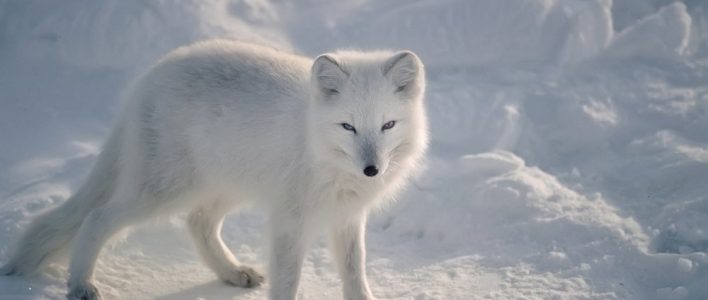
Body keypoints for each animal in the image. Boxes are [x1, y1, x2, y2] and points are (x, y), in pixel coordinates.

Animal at [1, 40, 426, 300]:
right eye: (348, 127)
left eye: (388, 125)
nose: (371, 170)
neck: (318, 147)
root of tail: (147, 79)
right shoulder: (290, 221)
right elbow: (288, 280)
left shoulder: (346, 217)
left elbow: (355, 272)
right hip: (163, 190)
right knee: (96, 218)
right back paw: (81, 284)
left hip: (223, 186)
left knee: (198, 222)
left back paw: (232, 272)